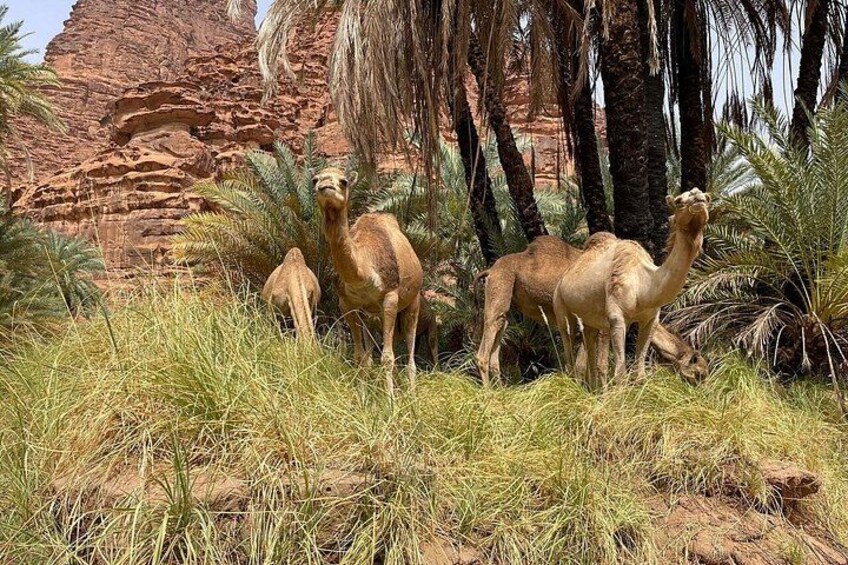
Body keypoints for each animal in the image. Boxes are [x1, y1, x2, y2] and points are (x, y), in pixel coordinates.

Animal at [314, 166, 424, 396]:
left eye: (344, 181)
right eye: (314, 179)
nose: (325, 185)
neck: (365, 269)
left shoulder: (390, 297)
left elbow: (388, 358)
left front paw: (390, 400)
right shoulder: (347, 304)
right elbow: (360, 357)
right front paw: (362, 397)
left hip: (413, 302)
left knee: (410, 354)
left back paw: (411, 393)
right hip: (371, 317)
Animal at [474, 235, 707, 387]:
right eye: (698, 374)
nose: (700, 390)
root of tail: (490, 269)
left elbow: (591, 365)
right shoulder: (600, 324)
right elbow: (594, 366)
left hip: (507, 304)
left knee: (498, 335)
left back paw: (500, 392)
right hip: (500, 285)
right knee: (485, 344)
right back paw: (488, 396)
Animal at [553, 188, 711, 386]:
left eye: (708, 198)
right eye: (679, 201)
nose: (699, 199)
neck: (643, 284)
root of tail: (564, 277)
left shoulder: (650, 320)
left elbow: (639, 372)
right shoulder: (616, 319)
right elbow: (618, 372)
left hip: (589, 322)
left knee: (587, 355)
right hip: (561, 308)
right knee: (569, 352)